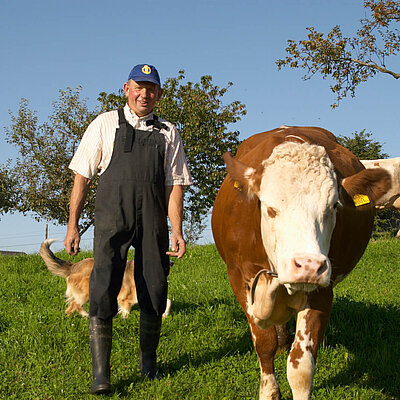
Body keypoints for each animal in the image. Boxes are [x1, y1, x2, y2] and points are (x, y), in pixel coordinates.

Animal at [211, 126, 391, 400]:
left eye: (333, 206)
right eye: (270, 208)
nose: (307, 266)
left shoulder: (322, 289)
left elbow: (302, 366)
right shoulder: (239, 277)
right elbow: (264, 342)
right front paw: (268, 390)